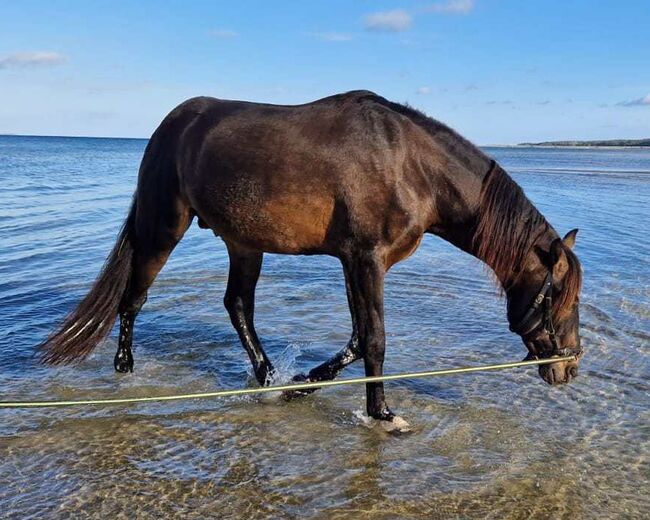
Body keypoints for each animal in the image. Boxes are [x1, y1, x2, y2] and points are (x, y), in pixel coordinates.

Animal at [40, 90, 584, 430]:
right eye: (560, 299)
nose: (570, 366)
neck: (409, 165)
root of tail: (171, 126)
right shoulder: (366, 259)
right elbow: (375, 339)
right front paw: (381, 414)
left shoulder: (352, 261)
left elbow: (357, 339)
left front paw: (299, 386)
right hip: (162, 230)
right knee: (134, 297)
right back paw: (125, 369)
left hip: (244, 243)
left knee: (238, 307)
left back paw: (266, 379)